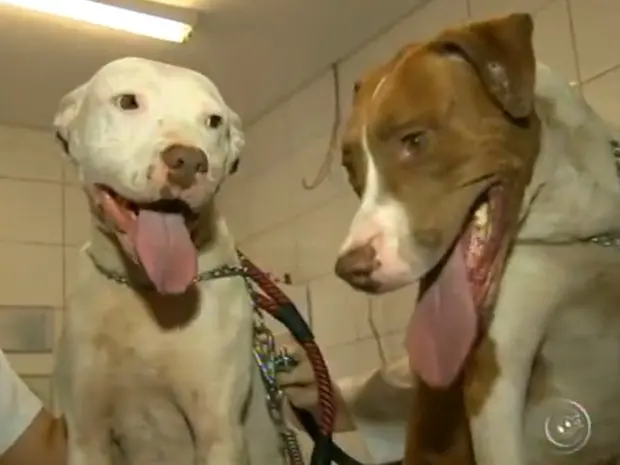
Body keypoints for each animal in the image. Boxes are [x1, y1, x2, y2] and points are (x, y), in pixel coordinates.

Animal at [53, 57, 286, 464]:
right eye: (128, 101)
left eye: (214, 121)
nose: (190, 160)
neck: (143, 292)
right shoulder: (86, 435)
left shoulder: (218, 434)